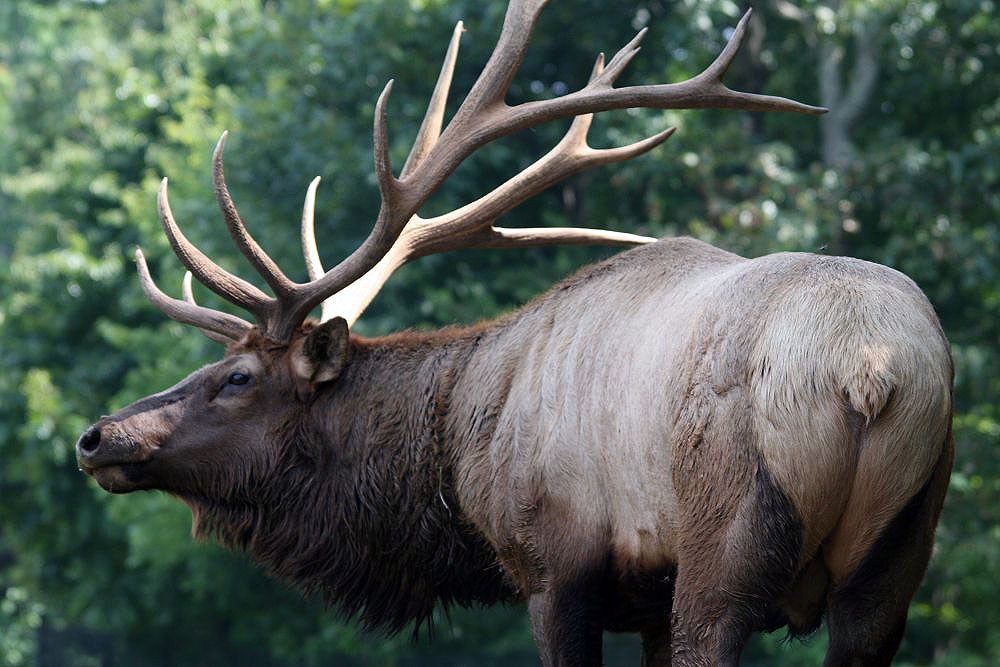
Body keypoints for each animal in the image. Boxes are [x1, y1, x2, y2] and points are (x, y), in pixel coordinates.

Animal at [76, 2, 952, 664]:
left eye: (237, 378)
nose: (97, 435)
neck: (460, 436)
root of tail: (869, 369)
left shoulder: (554, 564)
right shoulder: (646, 598)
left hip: (731, 531)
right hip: (901, 547)